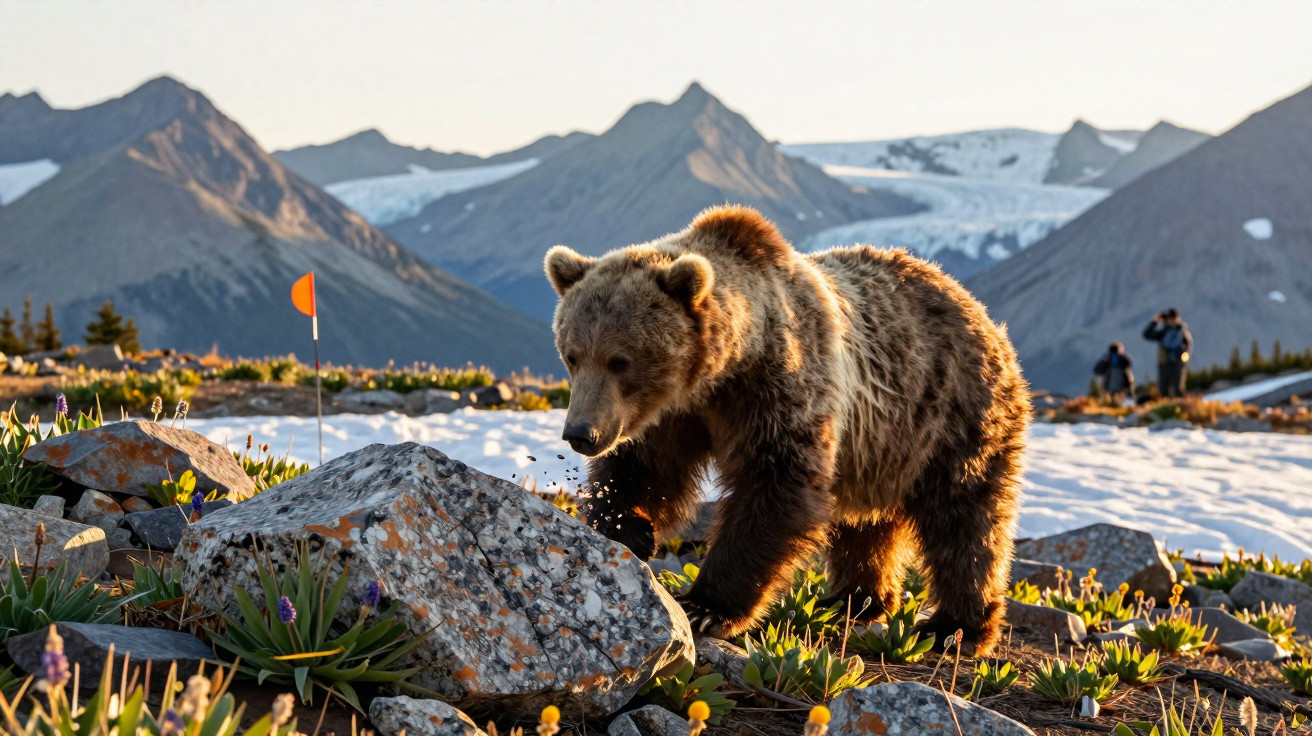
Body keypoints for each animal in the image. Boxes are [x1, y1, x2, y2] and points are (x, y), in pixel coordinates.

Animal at [543, 204, 1029, 655]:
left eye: (619, 360)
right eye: (572, 354)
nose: (581, 433)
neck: (723, 371)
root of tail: (977, 308)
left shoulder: (779, 389)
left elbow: (774, 487)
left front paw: (706, 607)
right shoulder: (672, 415)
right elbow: (644, 468)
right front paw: (630, 529)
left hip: (956, 414)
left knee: (965, 519)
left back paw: (955, 627)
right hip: (882, 446)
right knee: (869, 524)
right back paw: (856, 599)